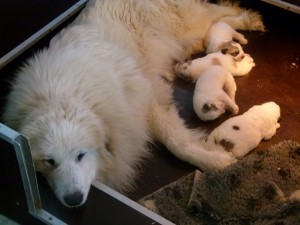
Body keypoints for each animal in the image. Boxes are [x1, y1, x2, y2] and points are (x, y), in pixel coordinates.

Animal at [2, 0, 264, 207]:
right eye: (49, 162)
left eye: (80, 155)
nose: (73, 200)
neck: (63, 94)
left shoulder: (145, 102)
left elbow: (176, 141)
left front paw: (214, 161)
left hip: (187, 23)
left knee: (221, 10)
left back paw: (249, 19)